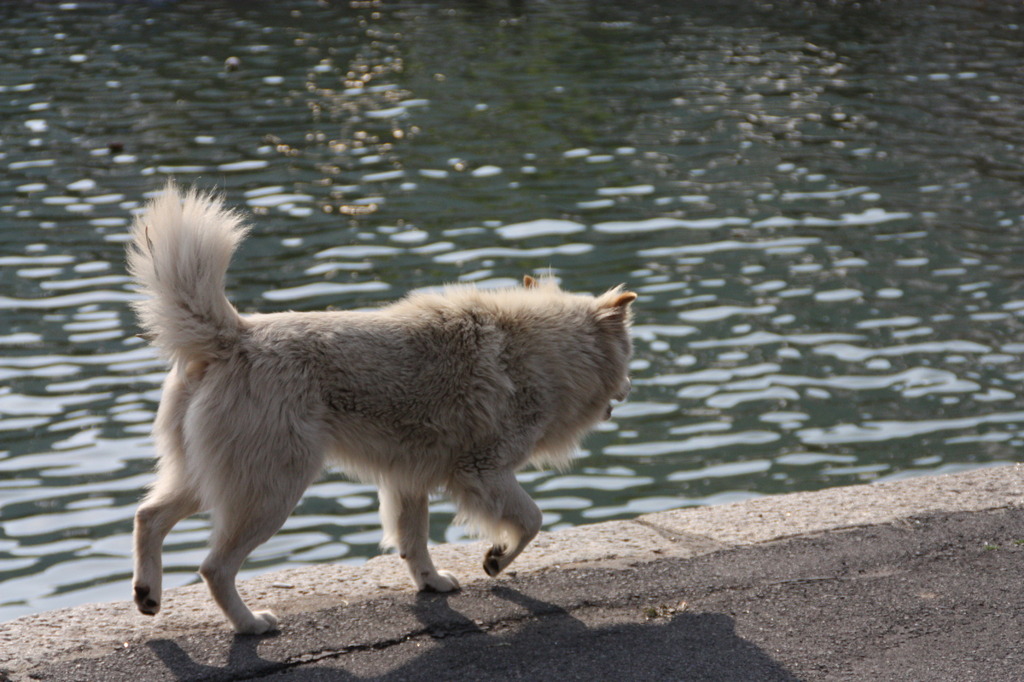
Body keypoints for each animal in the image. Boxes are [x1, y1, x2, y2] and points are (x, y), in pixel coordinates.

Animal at [126, 182, 630, 630]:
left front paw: (432, 583)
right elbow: (531, 520)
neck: (541, 347)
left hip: (214, 475)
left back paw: (148, 595)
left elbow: (414, 541)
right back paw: (250, 624)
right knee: (214, 567)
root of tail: (233, 337)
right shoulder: (482, 472)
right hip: (271, 489)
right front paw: (495, 559)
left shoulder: (408, 478)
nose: (627, 390)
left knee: (148, 517)